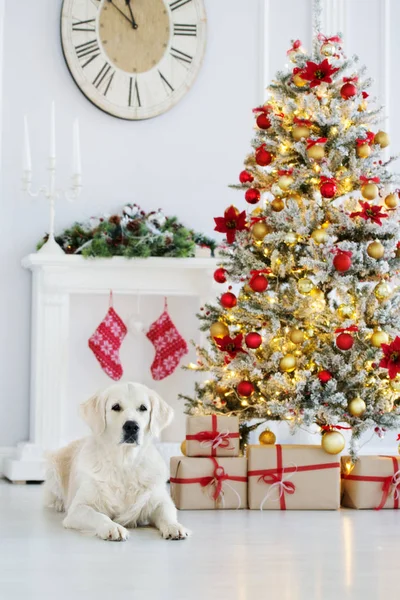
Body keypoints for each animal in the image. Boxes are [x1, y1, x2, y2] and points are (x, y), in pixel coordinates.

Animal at [43, 384, 190, 544]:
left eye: (143, 408)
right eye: (116, 407)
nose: (131, 426)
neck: (124, 463)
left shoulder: (160, 500)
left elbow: (166, 513)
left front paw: (174, 527)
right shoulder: (78, 509)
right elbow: (99, 516)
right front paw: (112, 527)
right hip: (52, 467)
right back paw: (59, 503)